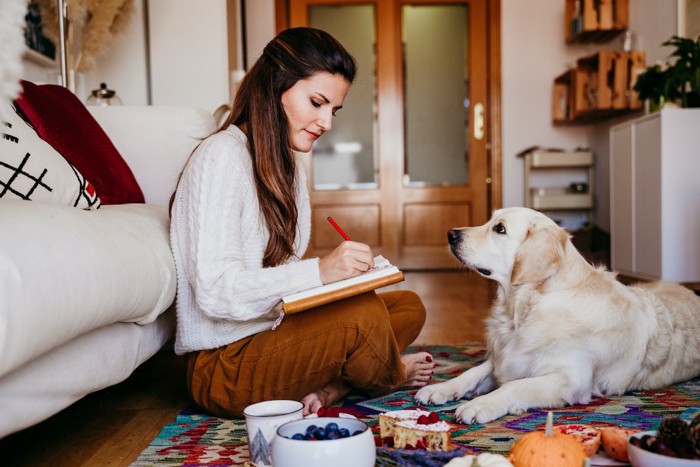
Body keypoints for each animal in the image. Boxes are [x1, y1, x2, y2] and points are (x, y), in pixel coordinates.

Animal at [416, 208, 700, 424]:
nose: (451, 234)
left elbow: (515, 385)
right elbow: (472, 372)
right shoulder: (507, 358)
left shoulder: (571, 379)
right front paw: (439, 389)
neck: (526, 307)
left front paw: (481, 404)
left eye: (500, 229)